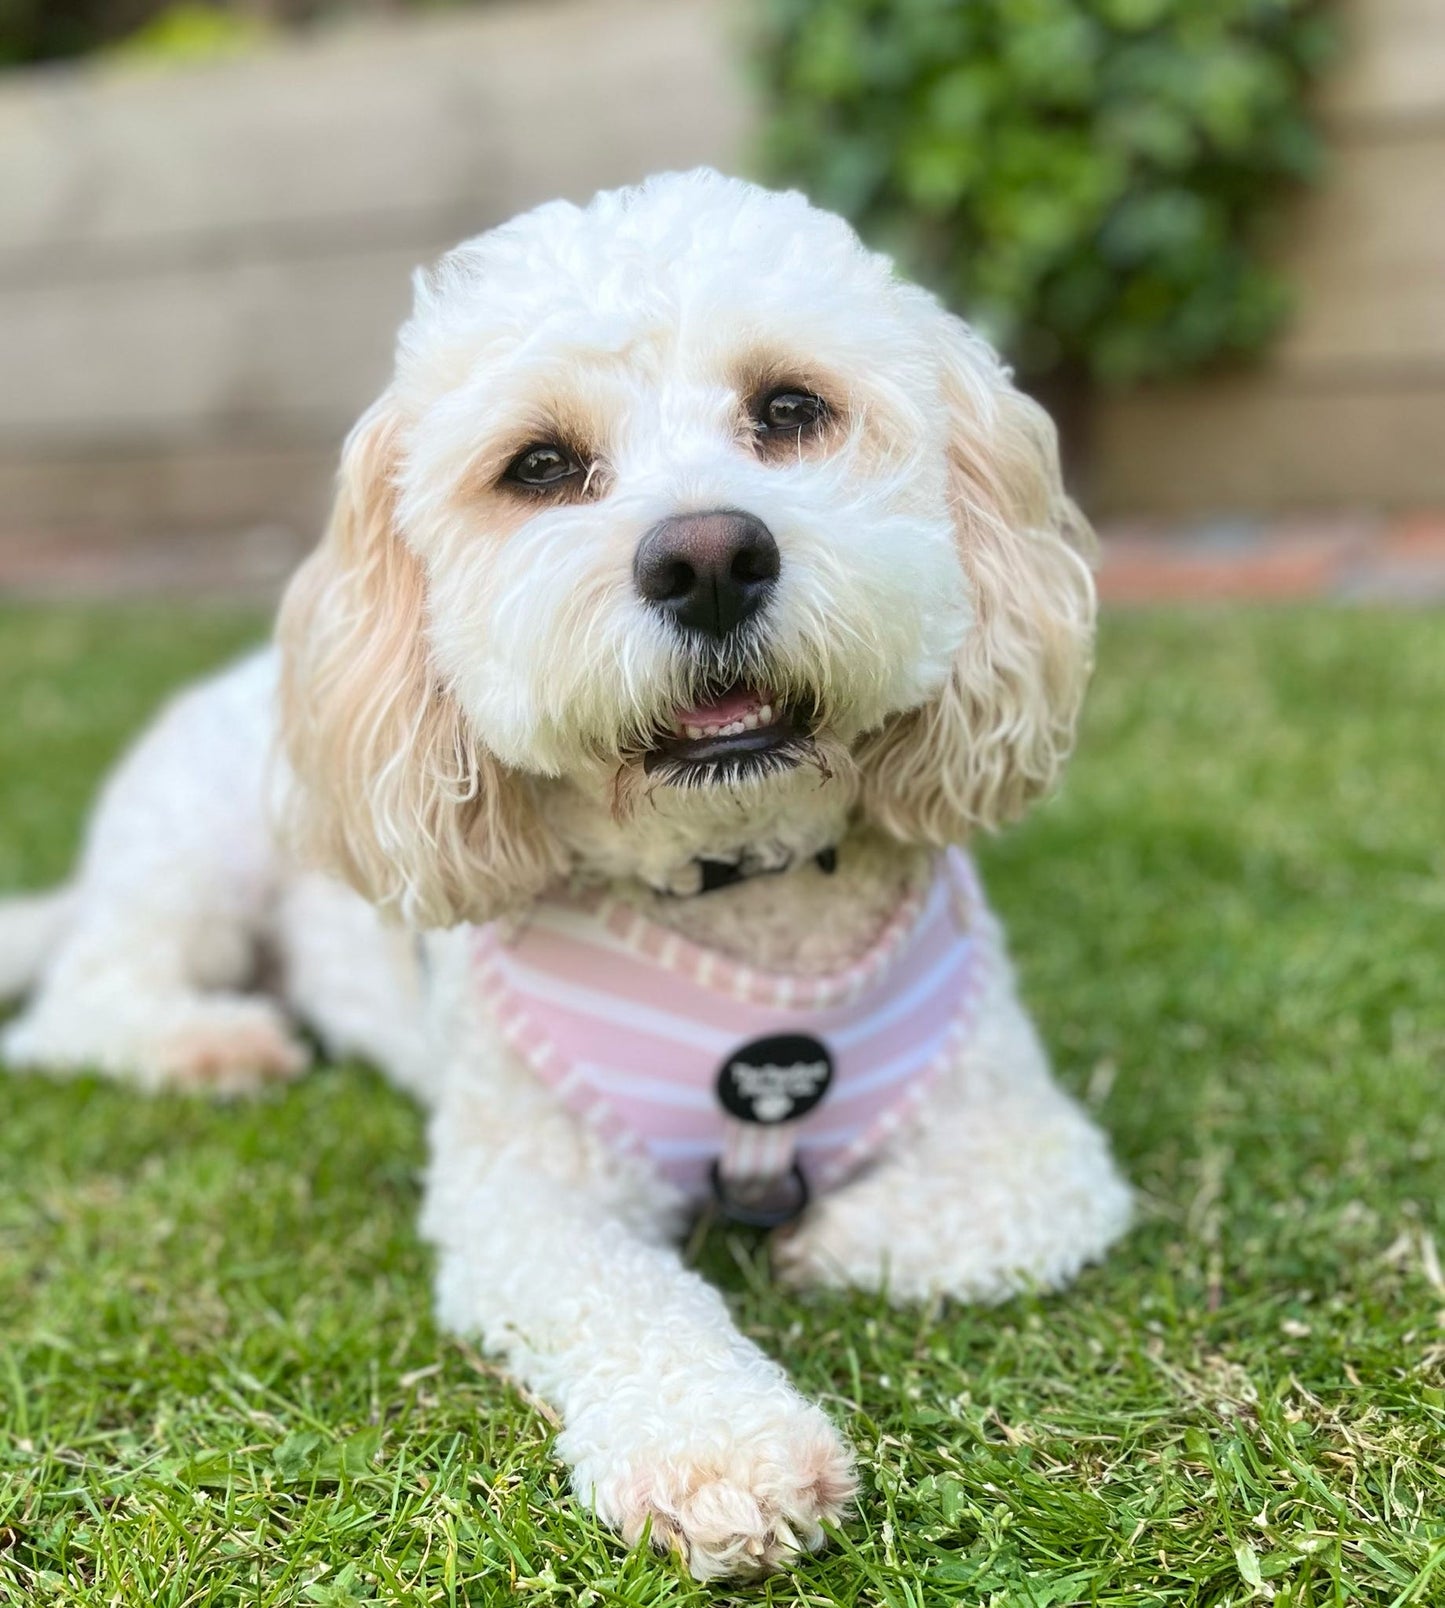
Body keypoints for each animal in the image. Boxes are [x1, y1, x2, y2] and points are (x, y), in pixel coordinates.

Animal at [0, 169, 1131, 1575]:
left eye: (788, 408)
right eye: (538, 466)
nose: (707, 558)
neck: (739, 886)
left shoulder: (1029, 1131)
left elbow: (1014, 1201)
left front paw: (830, 1239)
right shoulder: (522, 1195)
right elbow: (626, 1297)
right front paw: (720, 1452)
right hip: (195, 855)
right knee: (76, 1010)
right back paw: (214, 1045)